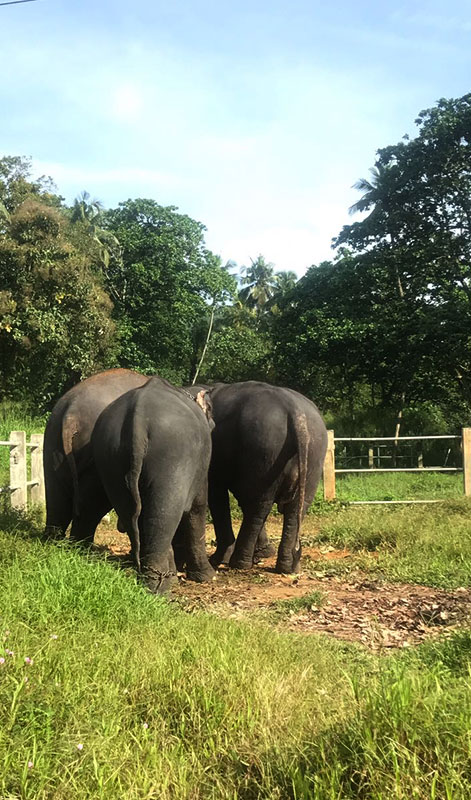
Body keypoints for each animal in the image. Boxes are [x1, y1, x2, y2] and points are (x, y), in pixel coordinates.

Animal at [44, 368, 150, 542]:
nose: (120, 528)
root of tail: (72, 413)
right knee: (91, 505)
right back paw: (82, 545)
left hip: (52, 438)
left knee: (57, 498)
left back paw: (53, 540)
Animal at [91, 376, 215, 593]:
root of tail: (138, 419)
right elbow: (198, 506)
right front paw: (208, 577)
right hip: (172, 455)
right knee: (163, 514)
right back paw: (159, 589)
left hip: (111, 457)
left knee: (133, 513)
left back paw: (153, 579)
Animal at [187, 381, 328, 574]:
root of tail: (295, 410)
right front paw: (263, 553)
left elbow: (217, 496)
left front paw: (219, 559)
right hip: (312, 453)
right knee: (293, 508)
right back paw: (288, 566)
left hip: (265, 448)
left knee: (258, 506)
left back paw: (239, 563)